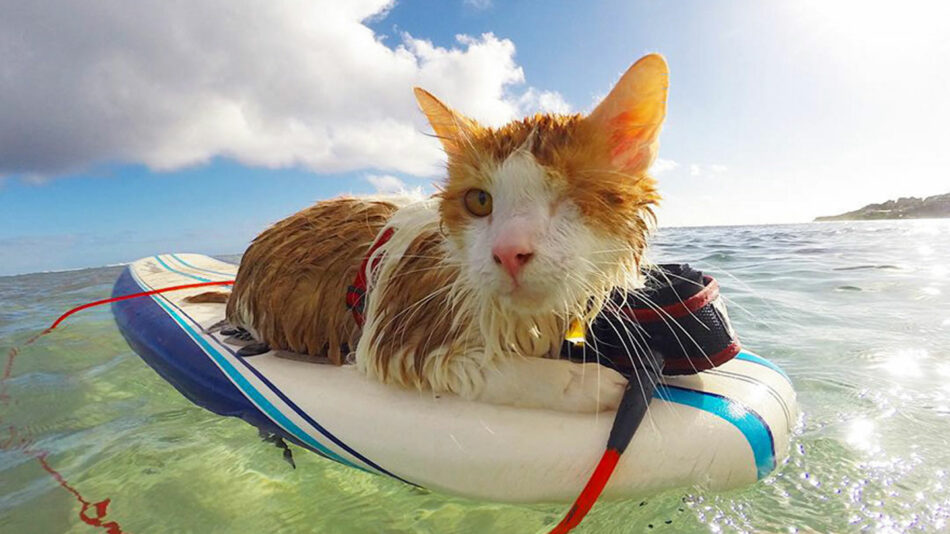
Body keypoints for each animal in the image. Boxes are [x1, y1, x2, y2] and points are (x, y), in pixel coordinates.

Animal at [215, 54, 664, 414]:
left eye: (571, 195)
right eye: (479, 201)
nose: (508, 253)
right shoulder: (396, 342)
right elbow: (494, 370)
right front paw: (582, 383)